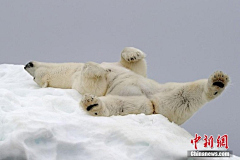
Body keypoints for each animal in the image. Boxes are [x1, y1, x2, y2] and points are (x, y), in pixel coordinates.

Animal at [23, 47, 229, 125]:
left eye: (32, 72)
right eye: (34, 78)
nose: (27, 64)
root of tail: (153, 106)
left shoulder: (123, 67)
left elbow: (136, 68)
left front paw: (133, 54)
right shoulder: (77, 81)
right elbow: (93, 84)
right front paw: (100, 70)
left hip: (163, 91)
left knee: (187, 92)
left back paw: (217, 81)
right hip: (131, 103)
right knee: (114, 105)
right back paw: (92, 105)